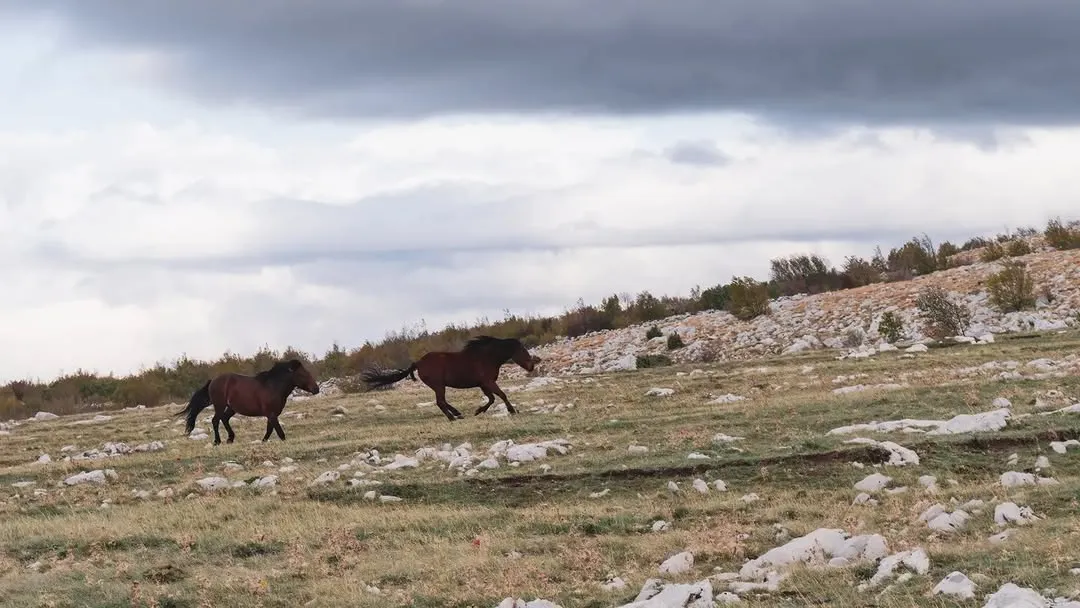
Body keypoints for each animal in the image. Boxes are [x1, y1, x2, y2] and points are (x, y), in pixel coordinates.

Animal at [175, 359, 320, 444]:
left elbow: (269, 430)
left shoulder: (271, 415)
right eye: (303, 374)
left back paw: (230, 439)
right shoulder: (272, 414)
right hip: (220, 405)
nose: (316, 389)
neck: (273, 386)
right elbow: (280, 433)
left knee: (224, 419)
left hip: (231, 408)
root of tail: (213, 381)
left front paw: (263, 442)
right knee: (216, 420)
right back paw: (218, 441)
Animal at [359, 335, 540, 421]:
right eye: (522, 350)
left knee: (443, 402)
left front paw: (478, 411)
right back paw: (453, 417)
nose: (531, 366)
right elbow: (501, 395)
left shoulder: (483, 384)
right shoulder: (488, 382)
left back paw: (458, 413)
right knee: (440, 402)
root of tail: (418, 362)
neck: (487, 357)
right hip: (439, 385)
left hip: (439, 386)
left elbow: (491, 399)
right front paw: (512, 410)